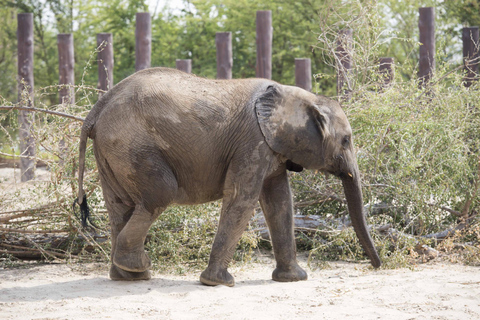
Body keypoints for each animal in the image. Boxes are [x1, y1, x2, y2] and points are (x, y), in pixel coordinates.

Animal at [76, 67, 382, 288]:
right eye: (346, 140)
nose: (377, 265)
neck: (300, 96)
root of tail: (96, 109)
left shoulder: (270, 146)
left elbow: (280, 202)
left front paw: (294, 279)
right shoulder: (253, 141)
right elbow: (242, 199)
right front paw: (218, 283)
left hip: (111, 150)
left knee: (119, 206)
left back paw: (127, 276)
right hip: (132, 144)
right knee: (162, 192)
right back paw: (138, 267)